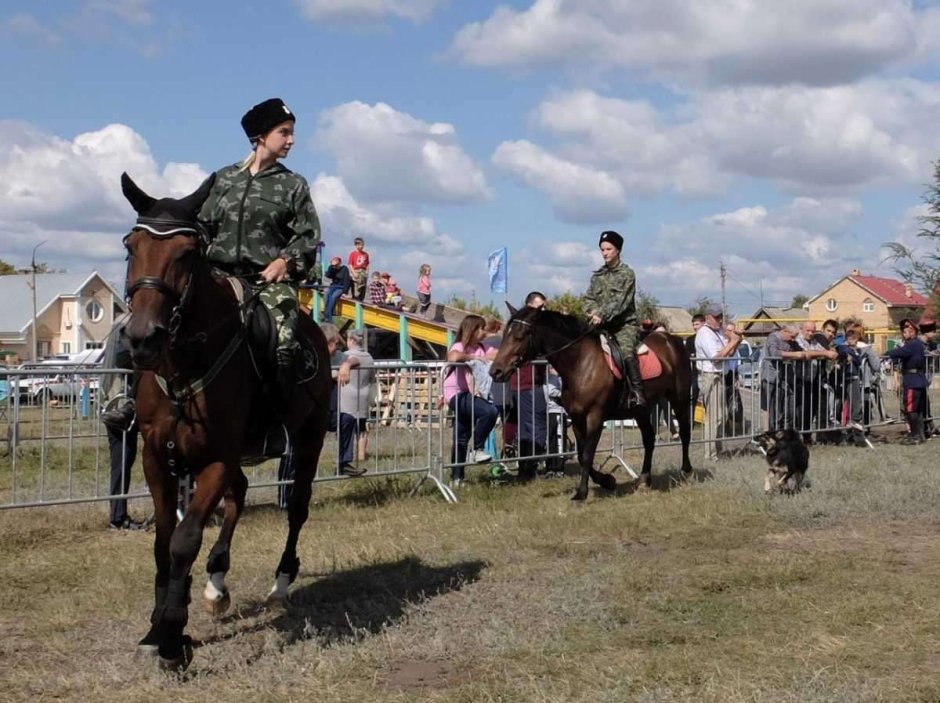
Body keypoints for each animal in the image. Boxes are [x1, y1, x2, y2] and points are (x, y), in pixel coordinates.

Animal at [118, 173, 330, 668]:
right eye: (130, 246)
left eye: (187, 253)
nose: (141, 339)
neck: (188, 364)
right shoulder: (157, 456)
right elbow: (164, 538)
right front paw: (159, 623)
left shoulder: (216, 458)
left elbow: (184, 539)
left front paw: (173, 637)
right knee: (239, 495)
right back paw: (216, 583)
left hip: (308, 438)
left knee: (298, 507)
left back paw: (281, 582)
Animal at [492, 306, 692, 500]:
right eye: (505, 334)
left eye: (520, 335)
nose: (496, 371)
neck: (580, 362)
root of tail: (671, 340)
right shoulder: (577, 418)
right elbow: (581, 455)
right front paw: (607, 481)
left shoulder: (594, 417)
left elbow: (588, 454)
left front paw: (582, 493)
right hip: (641, 410)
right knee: (649, 439)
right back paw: (644, 479)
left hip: (679, 398)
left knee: (684, 432)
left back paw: (686, 471)